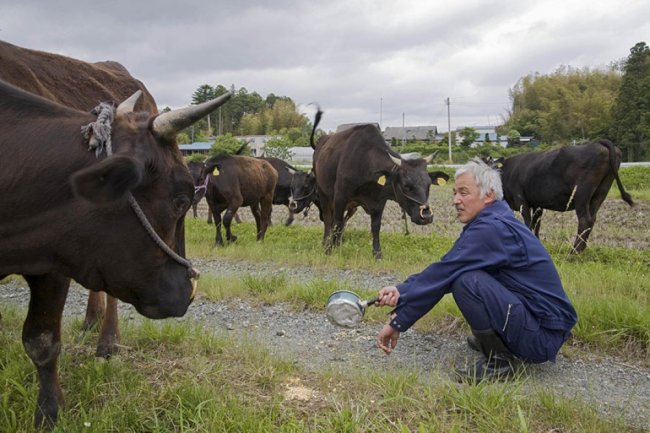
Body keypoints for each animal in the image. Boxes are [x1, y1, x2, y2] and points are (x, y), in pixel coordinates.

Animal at [0, 77, 233, 426]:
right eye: (180, 201)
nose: (189, 290)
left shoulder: (51, 268)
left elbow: (41, 341)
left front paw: (48, 413)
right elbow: (41, 341)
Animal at [310, 109, 446, 258]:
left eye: (428, 185)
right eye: (406, 186)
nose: (426, 216)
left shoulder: (379, 202)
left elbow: (375, 227)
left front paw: (377, 254)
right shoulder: (340, 196)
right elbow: (336, 223)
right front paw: (329, 250)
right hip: (324, 193)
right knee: (328, 219)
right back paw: (326, 242)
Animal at [494, 140, 632, 251]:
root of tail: (598, 143)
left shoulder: (522, 201)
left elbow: (528, 224)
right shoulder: (537, 205)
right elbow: (536, 225)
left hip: (581, 193)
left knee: (584, 220)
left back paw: (574, 252)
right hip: (601, 192)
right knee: (592, 219)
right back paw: (581, 250)